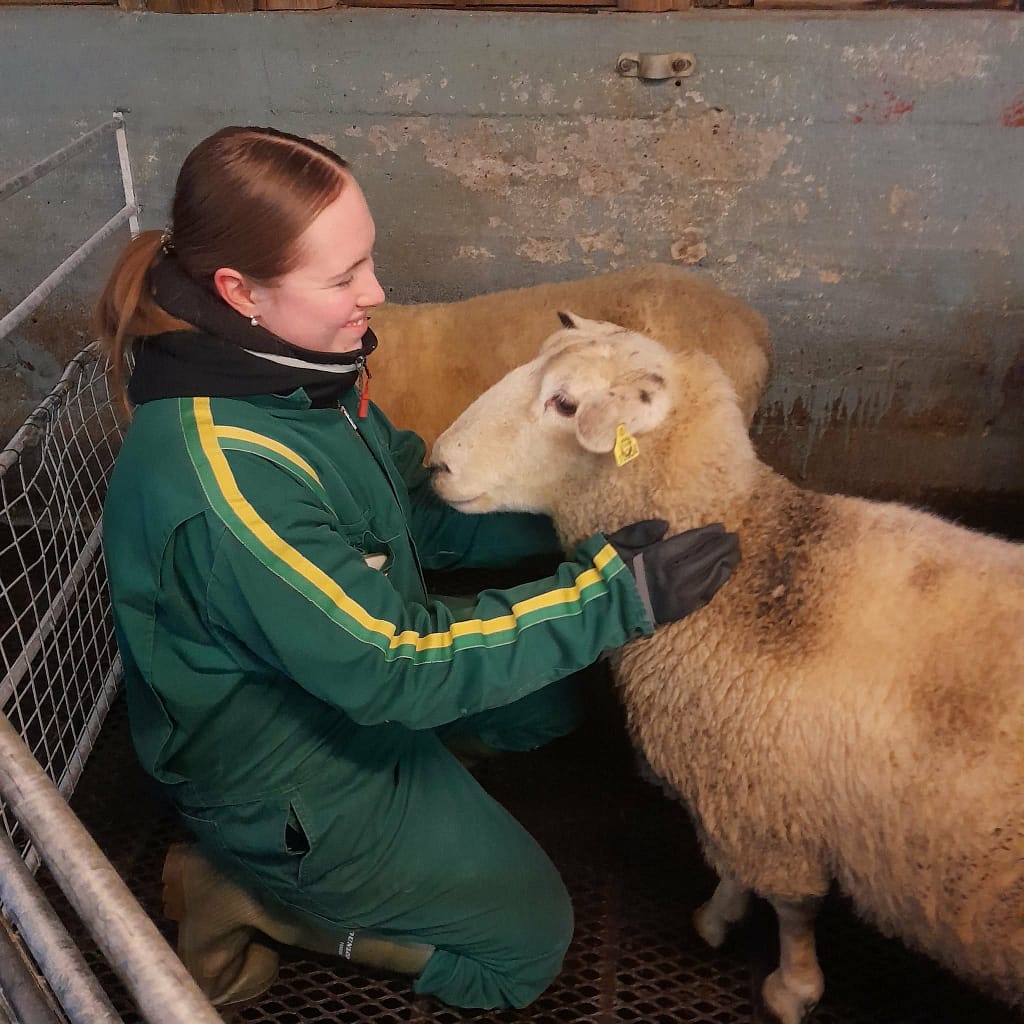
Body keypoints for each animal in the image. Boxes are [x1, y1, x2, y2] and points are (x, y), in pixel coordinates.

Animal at [429, 313, 1024, 1024]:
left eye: (566, 403)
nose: (435, 463)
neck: (754, 558)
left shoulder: (765, 801)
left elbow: (790, 905)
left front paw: (789, 984)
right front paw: (723, 917)